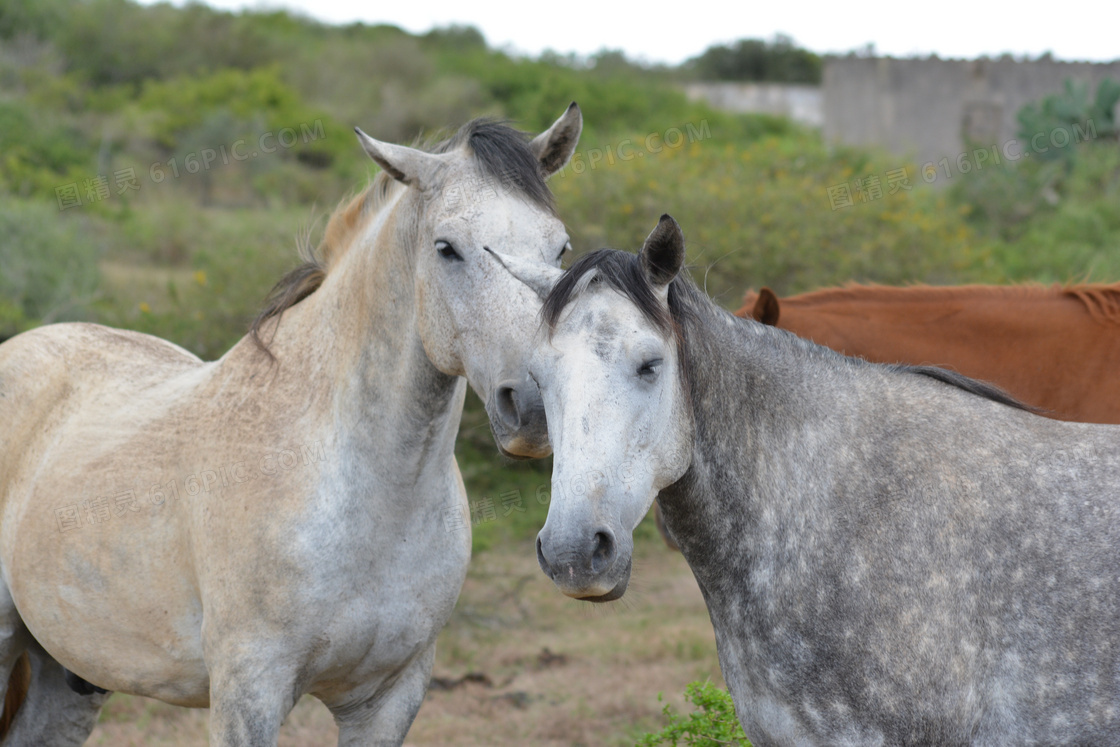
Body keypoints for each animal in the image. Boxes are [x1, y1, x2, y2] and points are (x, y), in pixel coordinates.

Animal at [0, 106, 582, 747]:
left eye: (560, 248)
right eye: (446, 248)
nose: (533, 405)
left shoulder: (389, 697)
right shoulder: (248, 692)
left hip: (67, 674)